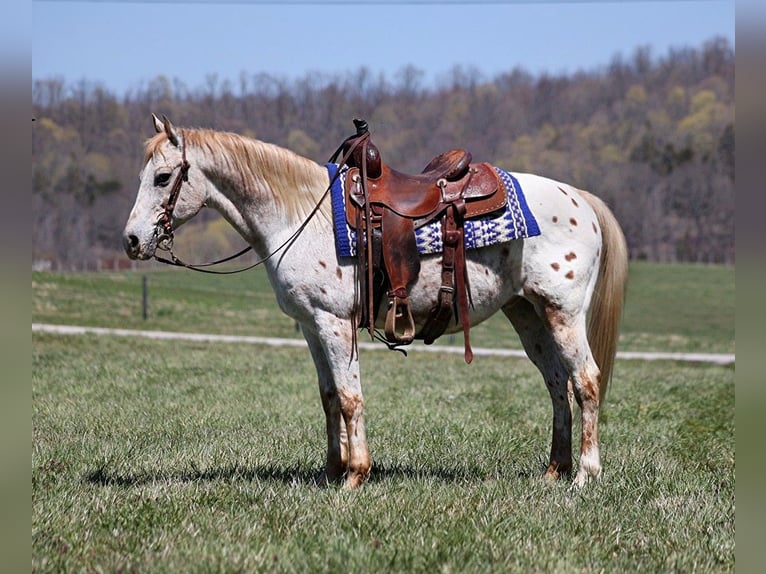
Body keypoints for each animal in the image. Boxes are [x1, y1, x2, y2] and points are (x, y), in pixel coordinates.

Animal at [123, 116, 628, 490]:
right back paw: (553, 471)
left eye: (163, 177)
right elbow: (328, 397)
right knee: (557, 384)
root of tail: (580, 198)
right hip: (527, 313)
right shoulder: (310, 326)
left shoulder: (335, 322)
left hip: (564, 313)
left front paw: (356, 476)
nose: (131, 241)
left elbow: (350, 398)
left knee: (585, 380)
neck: (298, 215)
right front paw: (331, 471)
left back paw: (585, 475)